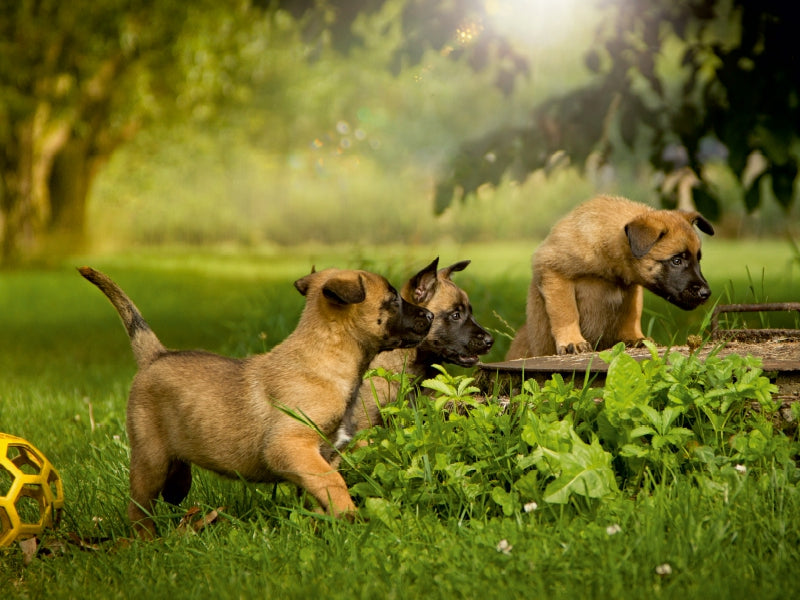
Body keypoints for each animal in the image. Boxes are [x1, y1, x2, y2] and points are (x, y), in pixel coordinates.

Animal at [78, 264, 434, 536]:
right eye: (392, 299)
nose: (430, 315)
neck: (325, 358)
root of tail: (156, 354)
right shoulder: (290, 446)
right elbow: (333, 482)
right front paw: (351, 518)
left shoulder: (324, 453)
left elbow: (322, 487)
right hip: (149, 457)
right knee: (139, 508)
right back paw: (146, 541)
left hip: (174, 462)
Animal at [504, 195, 716, 358]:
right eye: (676, 260)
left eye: (698, 259)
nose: (706, 293)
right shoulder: (552, 269)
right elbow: (566, 311)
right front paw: (572, 341)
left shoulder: (631, 287)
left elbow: (632, 313)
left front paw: (635, 337)